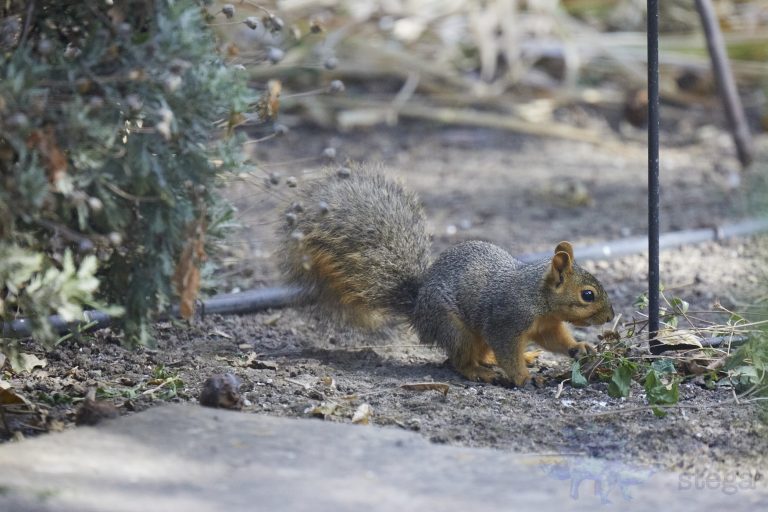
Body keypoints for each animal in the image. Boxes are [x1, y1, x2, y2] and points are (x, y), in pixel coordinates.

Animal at [279, 166, 615, 387]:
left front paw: (579, 347)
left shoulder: (546, 325)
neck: (537, 297)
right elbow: (508, 352)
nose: (610, 317)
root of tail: (417, 308)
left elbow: (555, 340)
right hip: (454, 328)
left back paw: (506, 359)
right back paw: (481, 371)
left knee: (481, 353)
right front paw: (523, 378)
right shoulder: (506, 322)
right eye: (588, 295)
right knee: (460, 361)